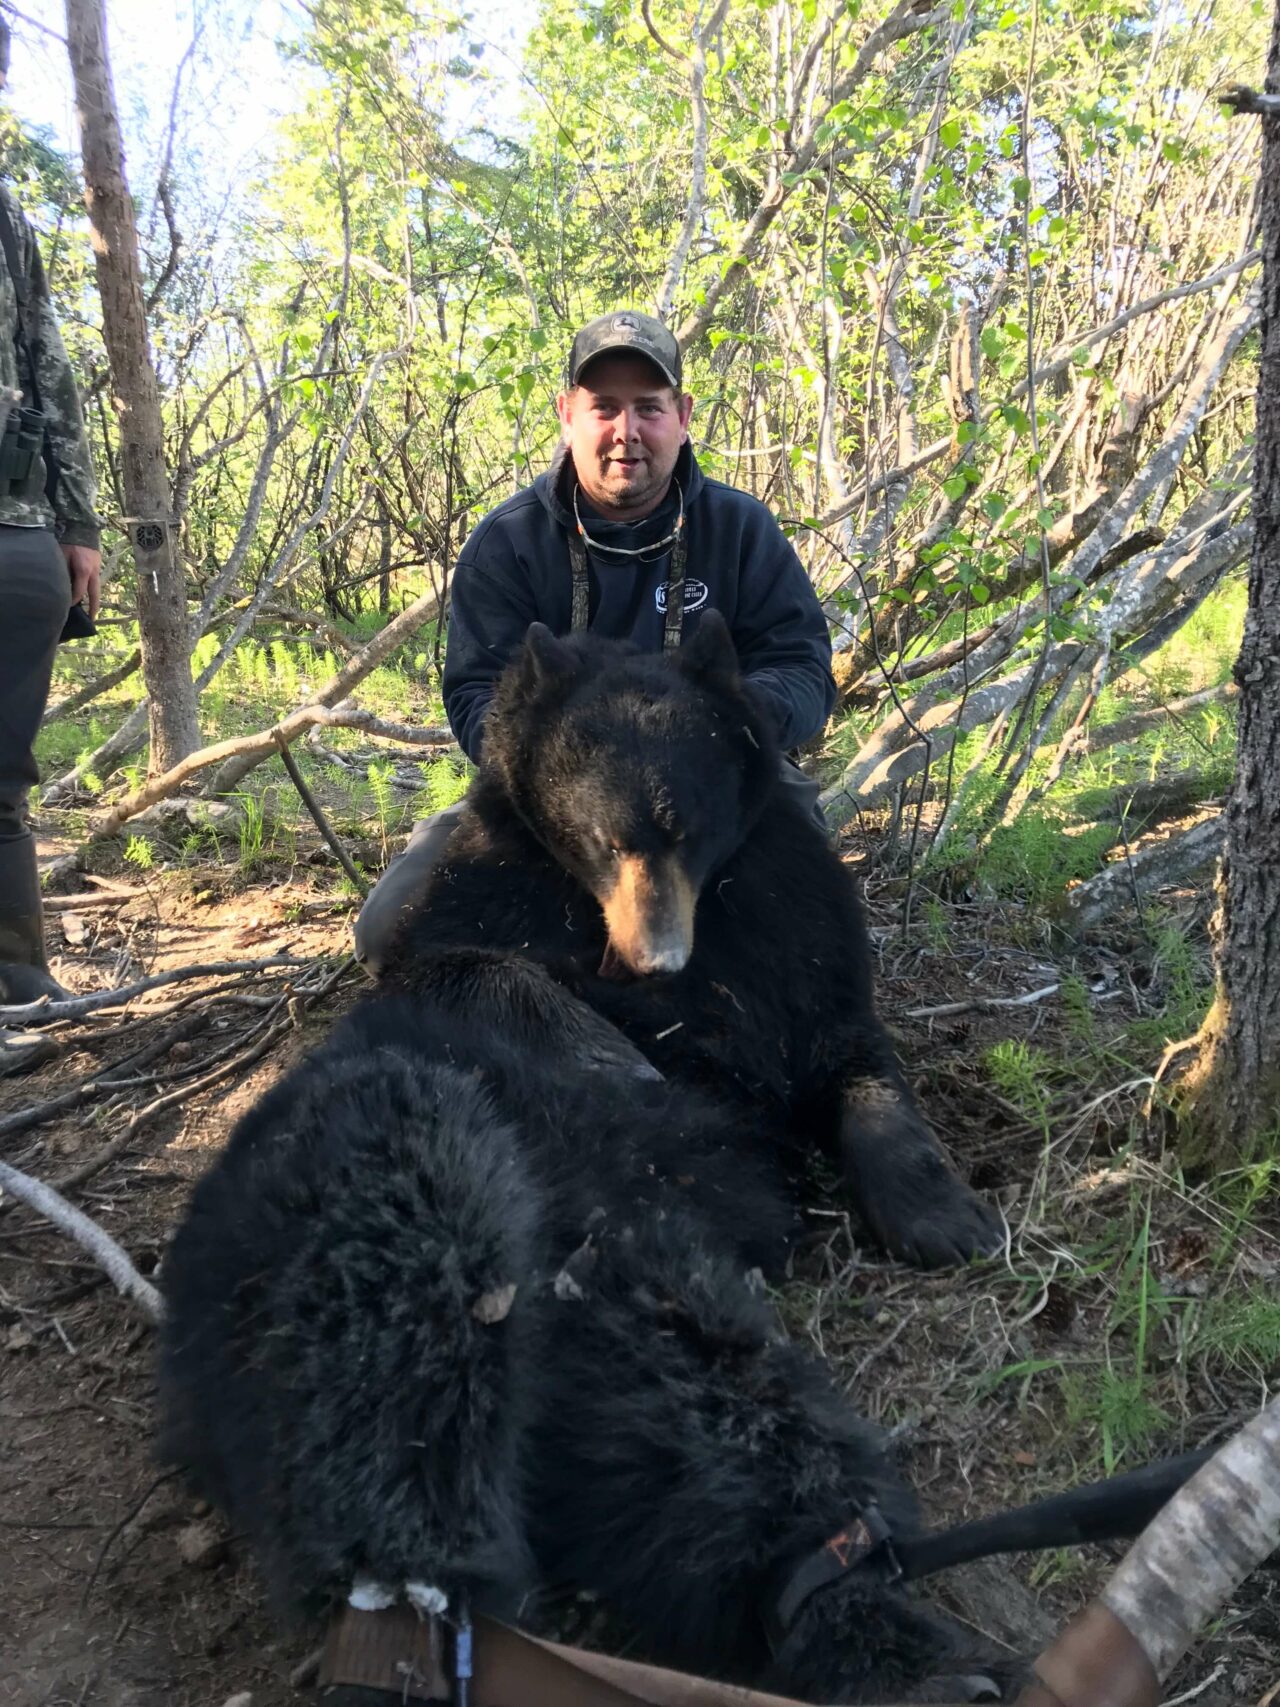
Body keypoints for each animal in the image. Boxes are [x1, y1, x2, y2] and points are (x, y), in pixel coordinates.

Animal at [390, 614, 1003, 1270]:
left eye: (688, 832)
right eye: (605, 842)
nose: (656, 961)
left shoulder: (790, 908)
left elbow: (844, 1034)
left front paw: (948, 1218)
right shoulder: (499, 879)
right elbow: (448, 963)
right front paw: (616, 1055)